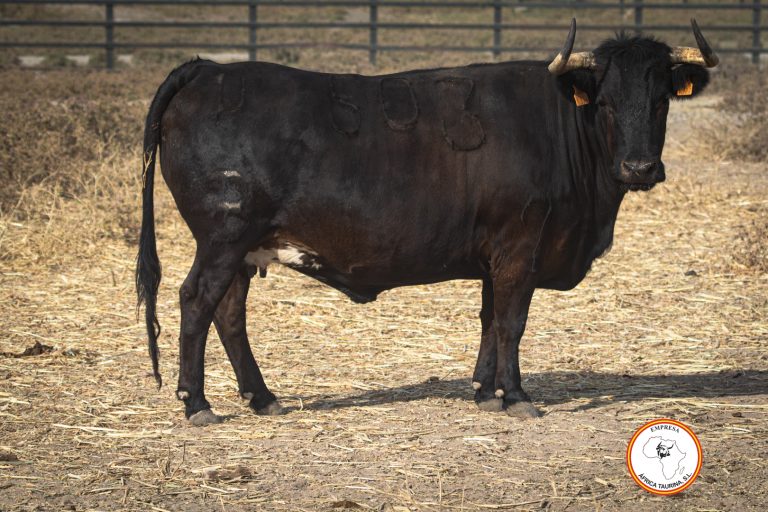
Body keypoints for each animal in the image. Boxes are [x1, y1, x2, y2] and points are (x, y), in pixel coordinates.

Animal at [136, 19, 718, 425]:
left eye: (662, 101)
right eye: (607, 103)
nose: (639, 167)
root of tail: (208, 68)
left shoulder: (495, 254)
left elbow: (489, 320)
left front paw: (485, 392)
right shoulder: (519, 248)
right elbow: (512, 322)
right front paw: (517, 395)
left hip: (243, 247)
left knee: (229, 313)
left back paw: (262, 398)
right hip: (223, 237)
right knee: (197, 302)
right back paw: (196, 403)